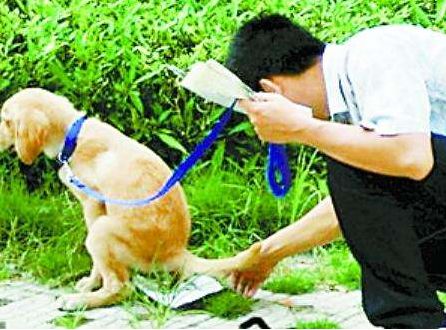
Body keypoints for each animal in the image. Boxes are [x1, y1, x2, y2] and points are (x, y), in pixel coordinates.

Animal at [0, 87, 260, 310]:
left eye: (5, 120)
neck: (72, 134)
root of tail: (177, 252)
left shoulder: (93, 205)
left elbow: (98, 265)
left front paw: (91, 284)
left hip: (102, 231)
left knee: (121, 287)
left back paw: (81, 301)